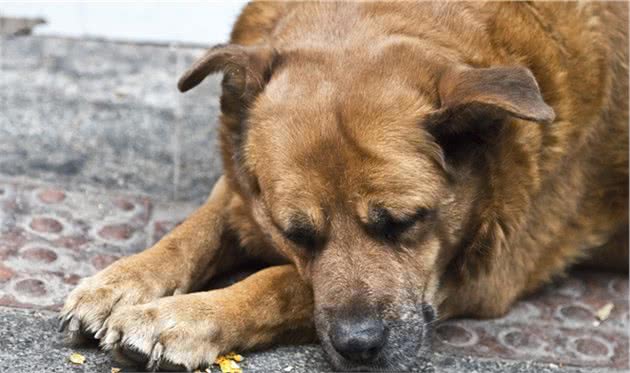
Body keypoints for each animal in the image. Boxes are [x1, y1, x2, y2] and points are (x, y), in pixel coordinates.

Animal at [58, 1, 628, 370]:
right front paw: (122, 282)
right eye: (297, 234)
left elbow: (282, 283)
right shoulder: (244, 193)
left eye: (406, 222)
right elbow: (194, 231)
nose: (358, 347)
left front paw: (184, 316)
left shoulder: (481, 274)